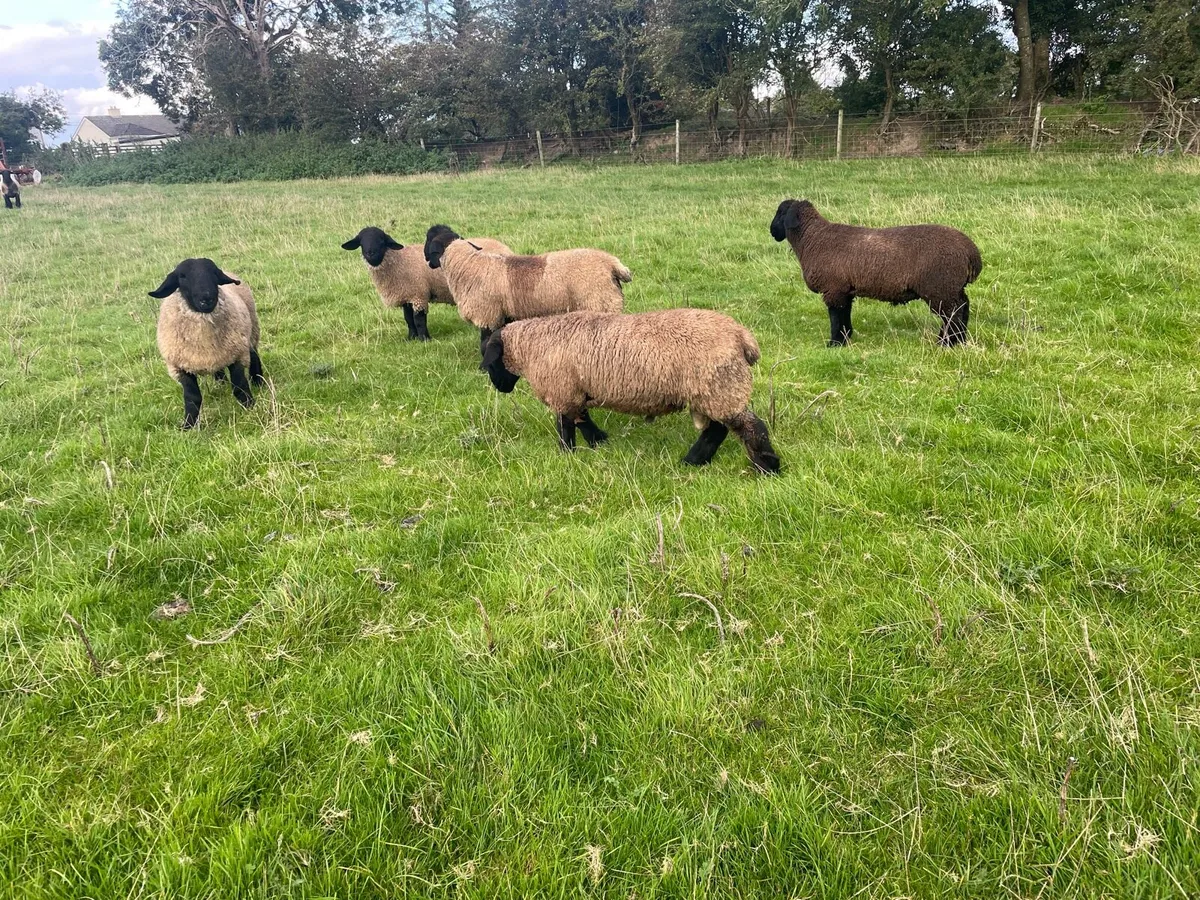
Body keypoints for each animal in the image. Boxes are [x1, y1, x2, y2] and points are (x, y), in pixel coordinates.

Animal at [149, 258, 265, 429]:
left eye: (214, 273)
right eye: (182, 276)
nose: (207, 298)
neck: (204, 342)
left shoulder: (237, 355)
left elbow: (239, 386)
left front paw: (250, 407)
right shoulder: (180, 367)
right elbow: (192, 397)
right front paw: (188, 425)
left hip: (251, 331)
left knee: (254, 354)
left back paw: (258, 381)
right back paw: (220, 383)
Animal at [341, 226, 512, 341]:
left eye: (382, 240)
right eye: (361, 241)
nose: (371, 253)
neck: (399, 261)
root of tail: (505, 248)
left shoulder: (419, 295)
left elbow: (419, 320)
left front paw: (424, 339)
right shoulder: (407, 295)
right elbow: (408, 319)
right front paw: (411, 338)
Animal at [425, 224, 631, 359]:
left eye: (428, 242)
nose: (426, 260)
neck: (468, 266)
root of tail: (613, 264)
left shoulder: (488, 315)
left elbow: (485, 344)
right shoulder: (501, 316)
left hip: (600, 303)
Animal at [481, 309, 781, 474]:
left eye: (490, 361)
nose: (500, 387)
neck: (531, 348)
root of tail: (743, 338)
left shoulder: (563, 390)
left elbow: (566, 426)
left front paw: (567, 454)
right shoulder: (577, 390)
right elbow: (582, 419)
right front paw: (599, 441)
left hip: (720, 386)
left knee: (750, 427)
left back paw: (768, 468)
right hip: (712, 390)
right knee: (717, 430)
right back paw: (693, 461)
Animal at [770, 199, 982, 347]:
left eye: (780, 213)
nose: (772, 231)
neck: (812, 239)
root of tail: (970, 251)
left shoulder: (833, 289)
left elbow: (835, 318)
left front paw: (834, 343)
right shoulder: (845, 290)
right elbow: (845, 315)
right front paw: (846, 339)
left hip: (940, 287)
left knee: (952, 314)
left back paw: (946, 343)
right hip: (952, 287)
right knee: (963, 307)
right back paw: (959, 340)